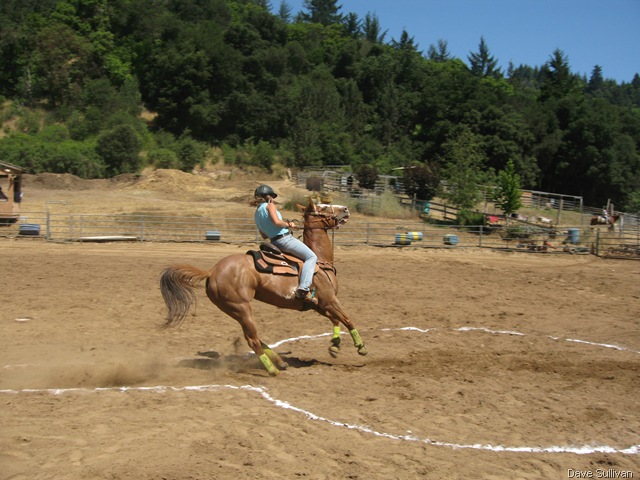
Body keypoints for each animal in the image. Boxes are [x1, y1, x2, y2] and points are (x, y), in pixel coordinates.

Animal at [159, 198, 368, 376]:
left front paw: (334, 346)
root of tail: (211, 271)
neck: (319, 260)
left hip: (233, 310)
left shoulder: (318, 304)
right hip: (241, 308)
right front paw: (361, 347)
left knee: (254, 337)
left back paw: (279, 362)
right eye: (323, 207)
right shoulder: (329, 300)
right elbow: (347, 319)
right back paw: (272, 370)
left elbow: (335, 320)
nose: (346, 209)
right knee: (252, 339)